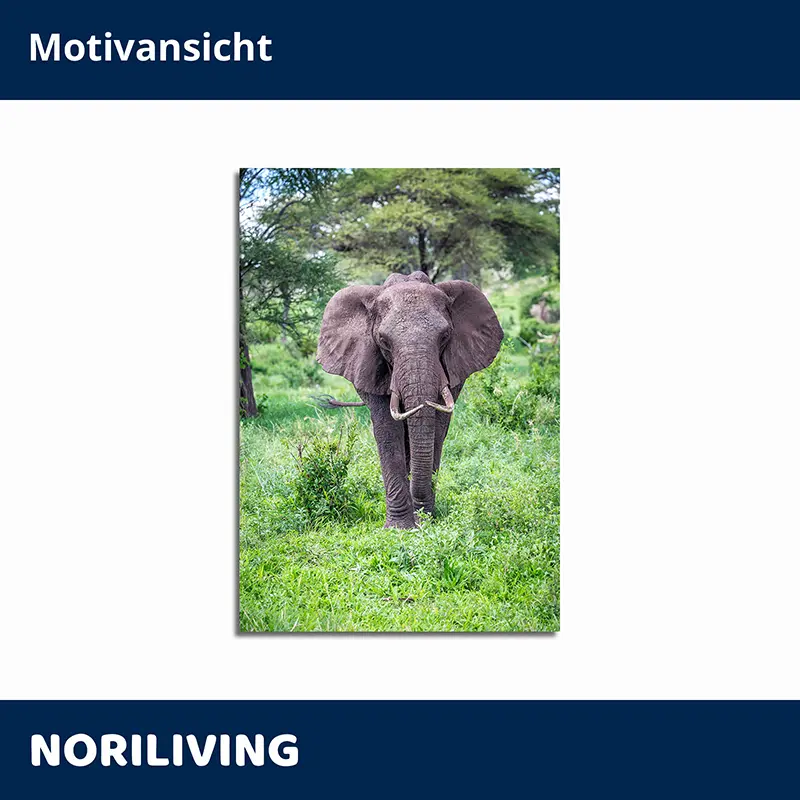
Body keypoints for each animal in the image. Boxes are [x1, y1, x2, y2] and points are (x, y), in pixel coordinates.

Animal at [316, 270, 503, 529]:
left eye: (445, 336)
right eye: (383, 340)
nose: (421, 518)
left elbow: (437, 429)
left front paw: (424, 519)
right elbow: (387, 431)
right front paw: (400, 528)